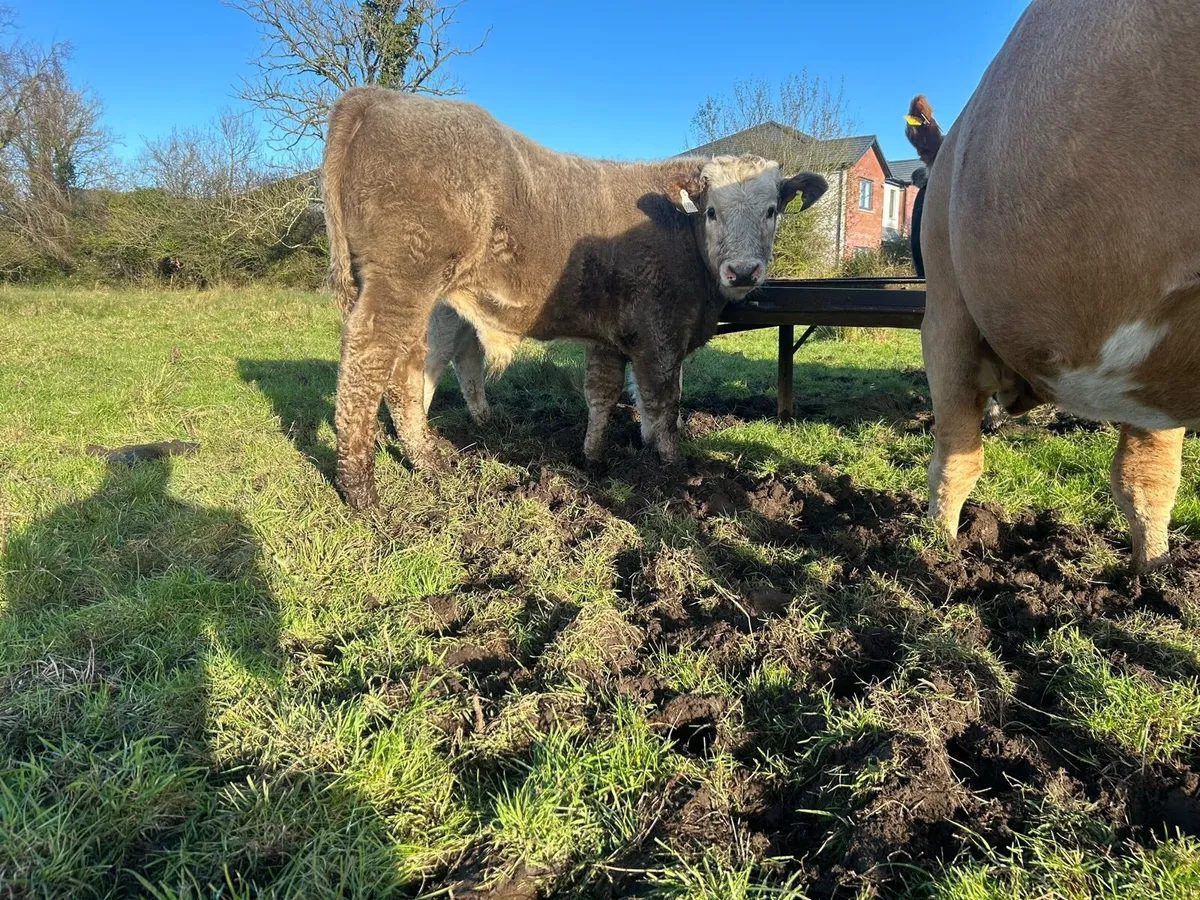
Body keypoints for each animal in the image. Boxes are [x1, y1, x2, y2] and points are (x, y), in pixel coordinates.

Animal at [322, 86, 828, 509]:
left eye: (771, 210)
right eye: (712, 212)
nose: (742, 270)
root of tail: (382, 96)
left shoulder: (610, 335)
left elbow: (603, 395)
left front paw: (594, 458)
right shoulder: (660, 333)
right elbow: (663, 401)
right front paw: (671, 467)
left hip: (423, 296)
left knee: (418, 365)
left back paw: (433, 454)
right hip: (403, 280)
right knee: (371, 362)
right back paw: (363, 488)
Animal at [908, 0, 1200, 572]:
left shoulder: (946, 310)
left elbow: (955, 459)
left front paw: (939, 550)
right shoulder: (1154, 379)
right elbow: (1148, 479)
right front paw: (1152, 574)